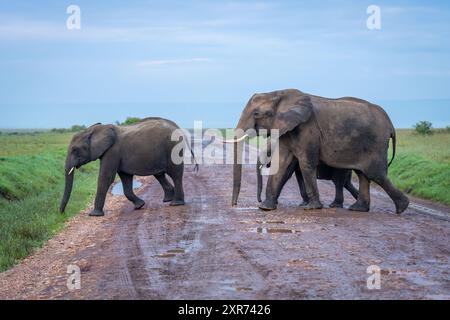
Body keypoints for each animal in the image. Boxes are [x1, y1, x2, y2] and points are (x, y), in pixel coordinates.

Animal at [59, 117, 197, 218]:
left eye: (75, 150)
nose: (62, 214)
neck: (94, 130)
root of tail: (177, 127)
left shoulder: (112, 151)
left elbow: (106, 178)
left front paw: (94, 215)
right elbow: (125, 178)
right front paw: (139, 206)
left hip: (173, 148)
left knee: (175, 173)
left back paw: (176, 203)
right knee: (160, 174)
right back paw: (167, 200)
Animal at [230, 90, 410, 214]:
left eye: (256, 114)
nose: (234, 205)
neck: (278, 93)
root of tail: (391, 125)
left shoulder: (308, 129)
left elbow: (304, 164)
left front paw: (311, 207)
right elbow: (281, 163)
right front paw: (266, 208)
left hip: (376, 143)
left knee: (375, 174)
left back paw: (401, 207)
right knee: (363, 175)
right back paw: (358, 208)